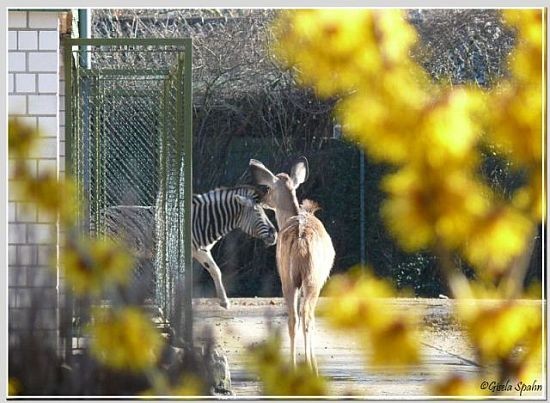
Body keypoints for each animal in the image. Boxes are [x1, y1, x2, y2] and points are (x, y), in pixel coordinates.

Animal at [101, 186, 278, 310]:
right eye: (258, 213)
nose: (275, 234)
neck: (204, 221)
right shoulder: (194, 250)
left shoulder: (202, 250)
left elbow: (215, 270)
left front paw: (224, 302)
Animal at [251, 156, 336, 374]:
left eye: (268, 188)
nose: (260, 200)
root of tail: (300, 240)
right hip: (311, 279)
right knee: (306, 316)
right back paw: (310, 367)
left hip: (288, 278)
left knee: (293, 318)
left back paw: (293, 366)